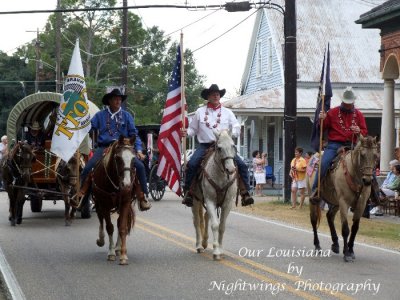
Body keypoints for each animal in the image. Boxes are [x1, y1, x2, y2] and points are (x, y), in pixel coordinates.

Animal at [91, 136, 137, 264]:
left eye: (134, 158)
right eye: (118, 158)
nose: (126, 184)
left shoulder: (125, 202)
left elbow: (122, 227)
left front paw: (123, 255)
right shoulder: (104, 204)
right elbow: (109, 227)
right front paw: (111, 252)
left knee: (119, 222)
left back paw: (118, 248)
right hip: (98, 203)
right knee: (101, 219)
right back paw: (101, 240)